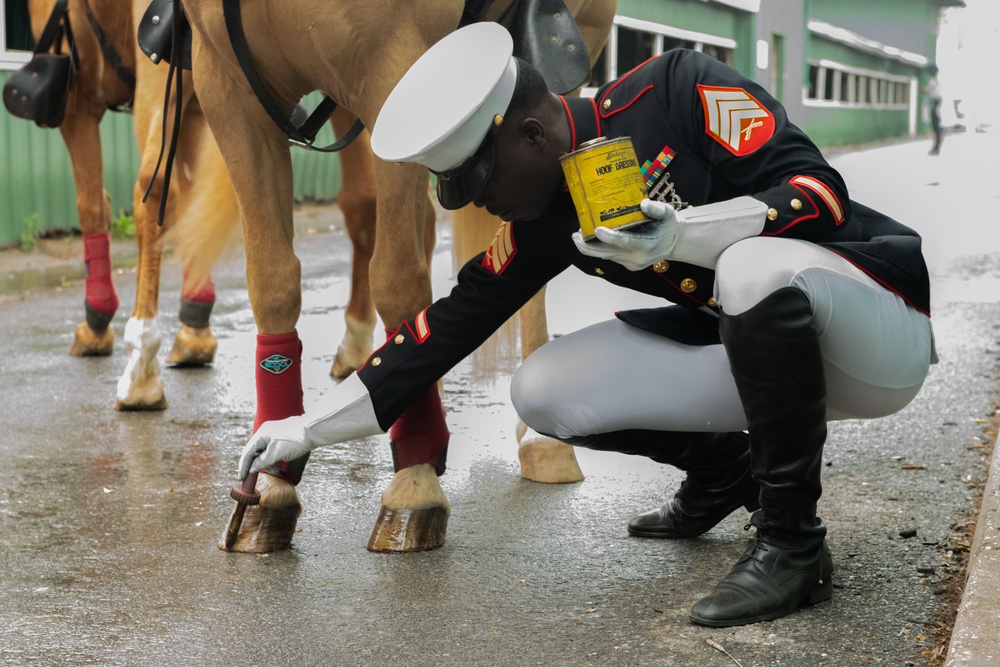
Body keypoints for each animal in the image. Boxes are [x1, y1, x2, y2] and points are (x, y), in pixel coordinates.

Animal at [181, 0, 616, 552]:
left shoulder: (395, 68)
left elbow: (398, 283)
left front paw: (415, 480)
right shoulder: (226, 85)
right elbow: (271, 276)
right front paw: (274, 482)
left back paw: (543, 443)